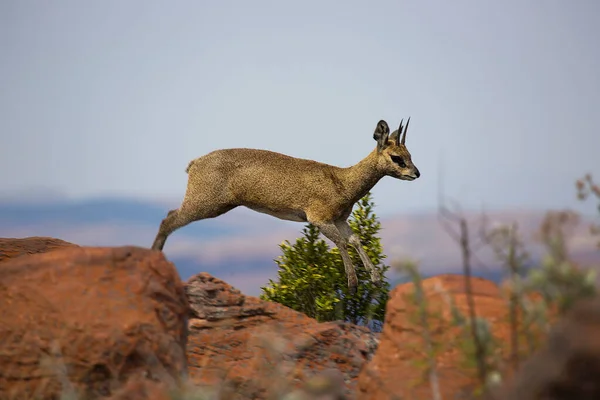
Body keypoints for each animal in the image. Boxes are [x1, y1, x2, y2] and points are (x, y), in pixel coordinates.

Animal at [152, 117, 420, 292]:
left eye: (410, 155)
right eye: (397, 157)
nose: (416, 173)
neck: (341, 181)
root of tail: (195, 162)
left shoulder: (340, 220)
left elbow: (354, 240)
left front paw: (375, 279)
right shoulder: (319, 219)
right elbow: (342, 243)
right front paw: (353, 284)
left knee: (169, 216)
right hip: (204, 205)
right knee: (168, 219)